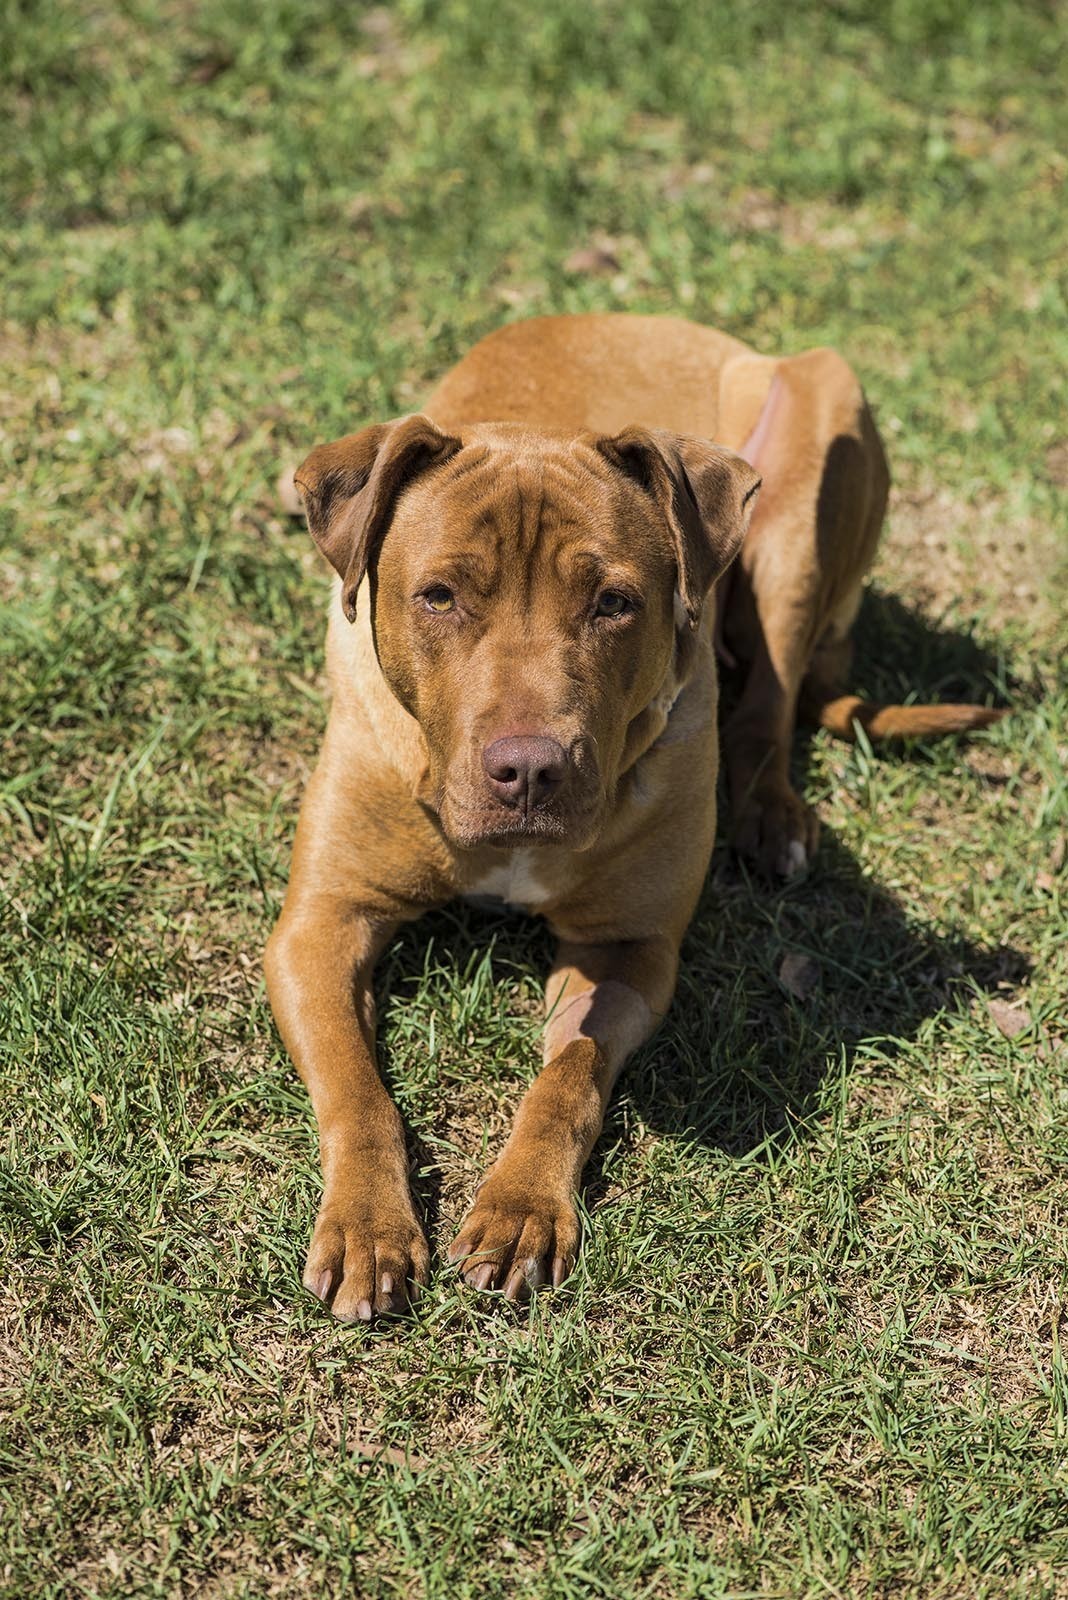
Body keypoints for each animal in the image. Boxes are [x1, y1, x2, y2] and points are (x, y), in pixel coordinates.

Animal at [267, 315, 1004, 1324]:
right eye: (439, 596)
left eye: (614, 602)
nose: (530, 770)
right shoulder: (322, 923)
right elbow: (356, 1086)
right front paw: (369, 1225)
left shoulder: (627, 948)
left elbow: (568, 1078)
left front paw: (520, 1209)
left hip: (803, 499)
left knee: (767, 705)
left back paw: (773, 819)